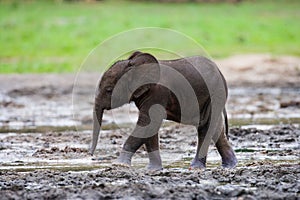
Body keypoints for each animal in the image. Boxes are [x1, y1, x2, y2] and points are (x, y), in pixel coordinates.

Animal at [90, 51, 238, 170]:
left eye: (109, 90)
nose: (91, 155)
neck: (136, 65)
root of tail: (220, 72)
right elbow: (150, 127)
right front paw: (153, 169)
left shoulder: (158, 93)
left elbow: (149, 123)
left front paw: (119, 165)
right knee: (214, 128)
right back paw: (230, 165)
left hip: (216, 93)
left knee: (206, 127)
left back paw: (197, 167)